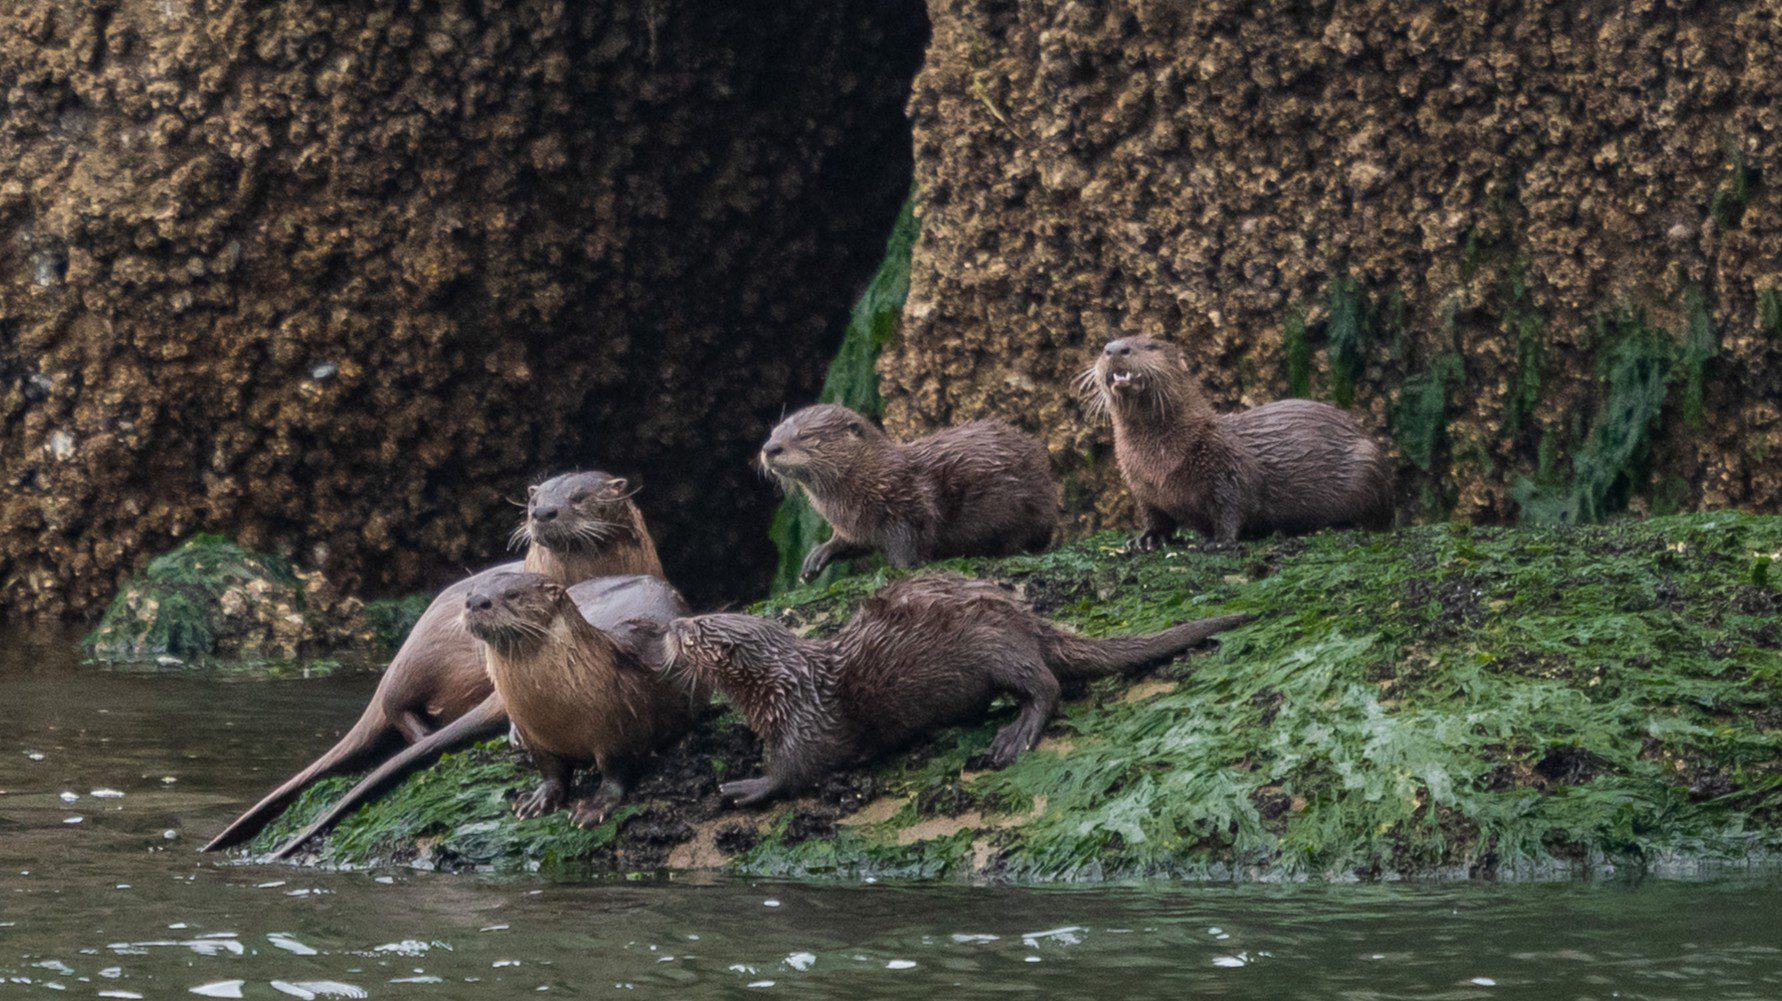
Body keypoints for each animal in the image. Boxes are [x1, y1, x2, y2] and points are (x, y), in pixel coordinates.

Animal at [202, 466, 662, 847]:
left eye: (579, 497)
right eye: (533, 501)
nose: (544, 512)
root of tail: (395, 664)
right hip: (420, 661)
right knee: (396, 708)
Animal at [267, 569, 691, 858]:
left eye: (514, 594)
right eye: (472, 592)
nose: (475, 602)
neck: (556, 707)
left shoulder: (620, 727)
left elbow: (617, 772)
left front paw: (594, 808)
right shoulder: (539, 738)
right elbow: (551, 771)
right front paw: (537, 800)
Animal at [634, 569, 1247, 801]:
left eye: (694, 630)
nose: (669, 628)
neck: (787, 688)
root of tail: (1025, 616)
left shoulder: (809, 724)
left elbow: (799, 769)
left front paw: (747, 785)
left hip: (995, 643)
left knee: (1046, 684)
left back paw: (1012, 737)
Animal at [755, 400, 1054, 580]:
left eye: (805, 436)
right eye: (773, 433)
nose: (770, 449)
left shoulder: (908, 508)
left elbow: (909, 545)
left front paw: (905, 569)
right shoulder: (858, 525)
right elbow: (852, 542)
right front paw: (818, 556)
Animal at [1076, 334, 1397, 545]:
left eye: (1150, 346)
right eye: (1105, 348)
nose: (1115, 349)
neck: (1161, 463)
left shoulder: (1228, 466)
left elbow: (1234, 504)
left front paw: (1219, 540)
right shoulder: (1140, 485)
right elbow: (1155, 516)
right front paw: (1147, 539)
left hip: (1367, 463)